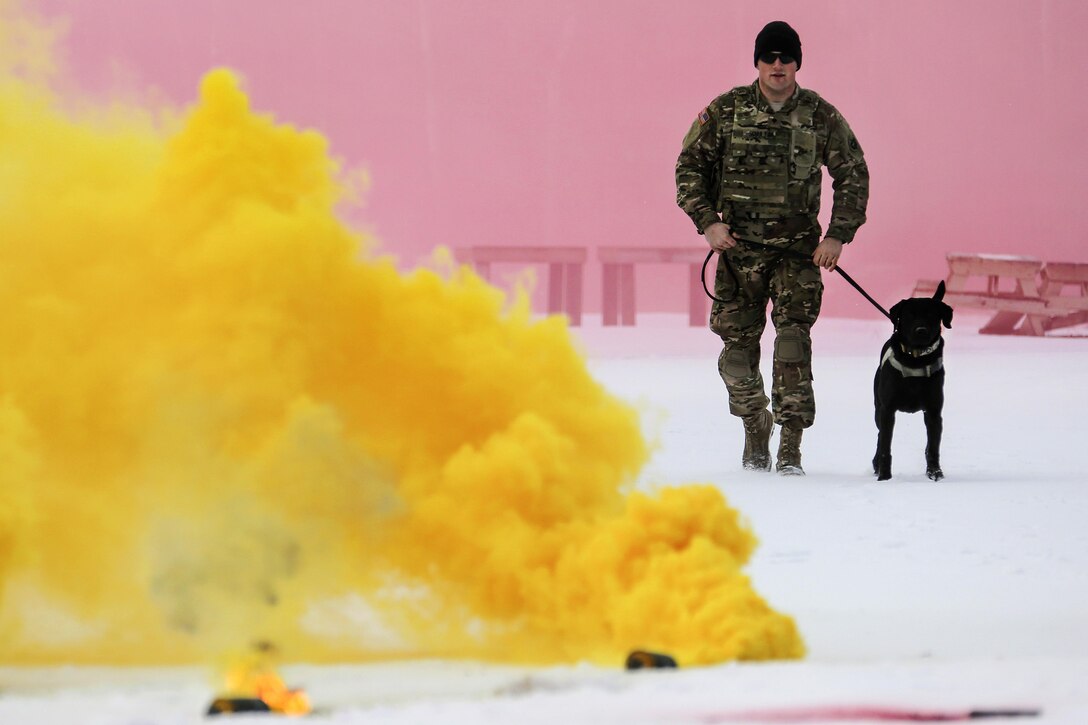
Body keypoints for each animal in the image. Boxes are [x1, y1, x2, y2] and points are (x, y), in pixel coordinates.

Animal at [874, 280, 953, 478]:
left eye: (932, 314)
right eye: (909, 314)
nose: (921, 331)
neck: (916, 359)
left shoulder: (933, 412)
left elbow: (933, 447)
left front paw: (935, 473)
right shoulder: (887, 410)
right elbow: (885, 446)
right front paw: (884, 477)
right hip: (878, 408)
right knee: (879, 437)